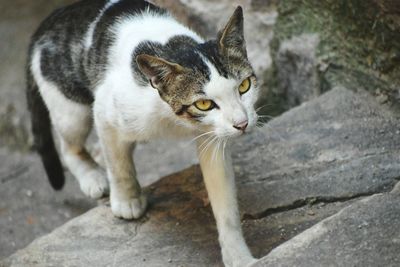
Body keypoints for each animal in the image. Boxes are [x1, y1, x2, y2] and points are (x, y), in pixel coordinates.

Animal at [27, 0, 260, 266]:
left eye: (244, 86)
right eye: (204, 104)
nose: (242, 123)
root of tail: (50, 19)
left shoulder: (213, 136)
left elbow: (225, 203)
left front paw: (238, 255)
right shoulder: (105, 110)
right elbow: (119, 165)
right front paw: (126, 201)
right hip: (70, 107)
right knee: (69, 147)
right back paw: (93, 177)